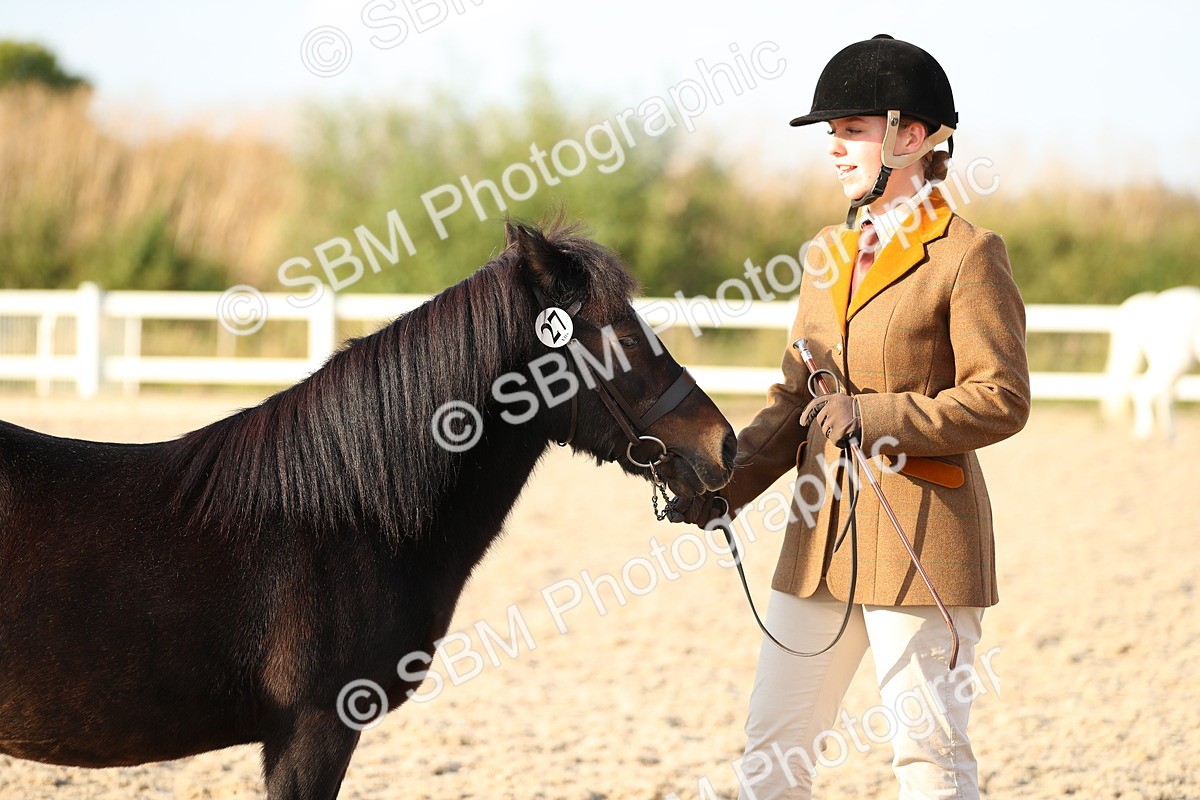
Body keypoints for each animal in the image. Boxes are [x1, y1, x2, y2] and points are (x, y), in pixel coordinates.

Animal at [1101, 286, 1200, 440]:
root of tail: (1152, 302)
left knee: (1165, 394)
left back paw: (1169, 435)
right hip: (1174, 363)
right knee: (1147, 390)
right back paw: (1144, 435)